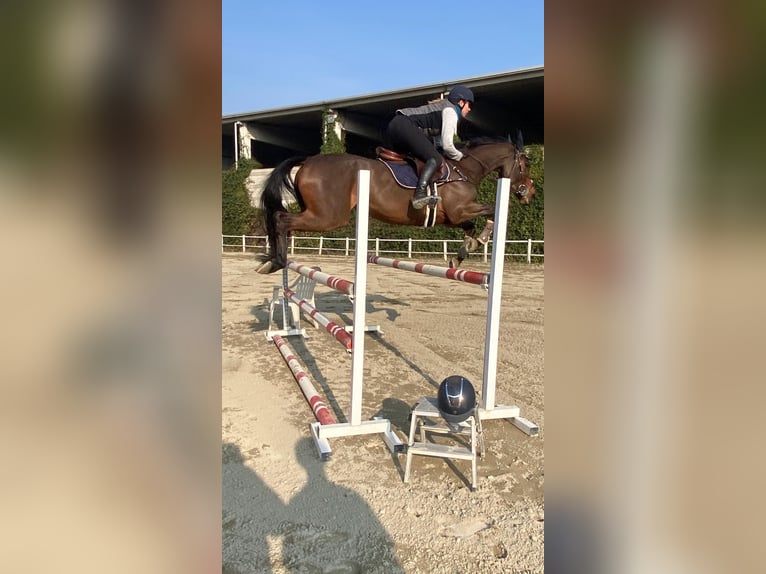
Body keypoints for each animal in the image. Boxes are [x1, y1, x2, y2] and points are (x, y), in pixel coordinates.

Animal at [255, 136, 535, 274]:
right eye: (525, 165)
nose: (529, 194)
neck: (463, 169)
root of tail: (308, 161)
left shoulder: (451, 217)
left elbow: (469, 227)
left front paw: (461, 256)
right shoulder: (458, 210)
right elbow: (491, 210)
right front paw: (483, 238)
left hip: (317, 213)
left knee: (280, 220)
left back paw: (270, 259)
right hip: (328, 217)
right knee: (281, 219)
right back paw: (276, 261)